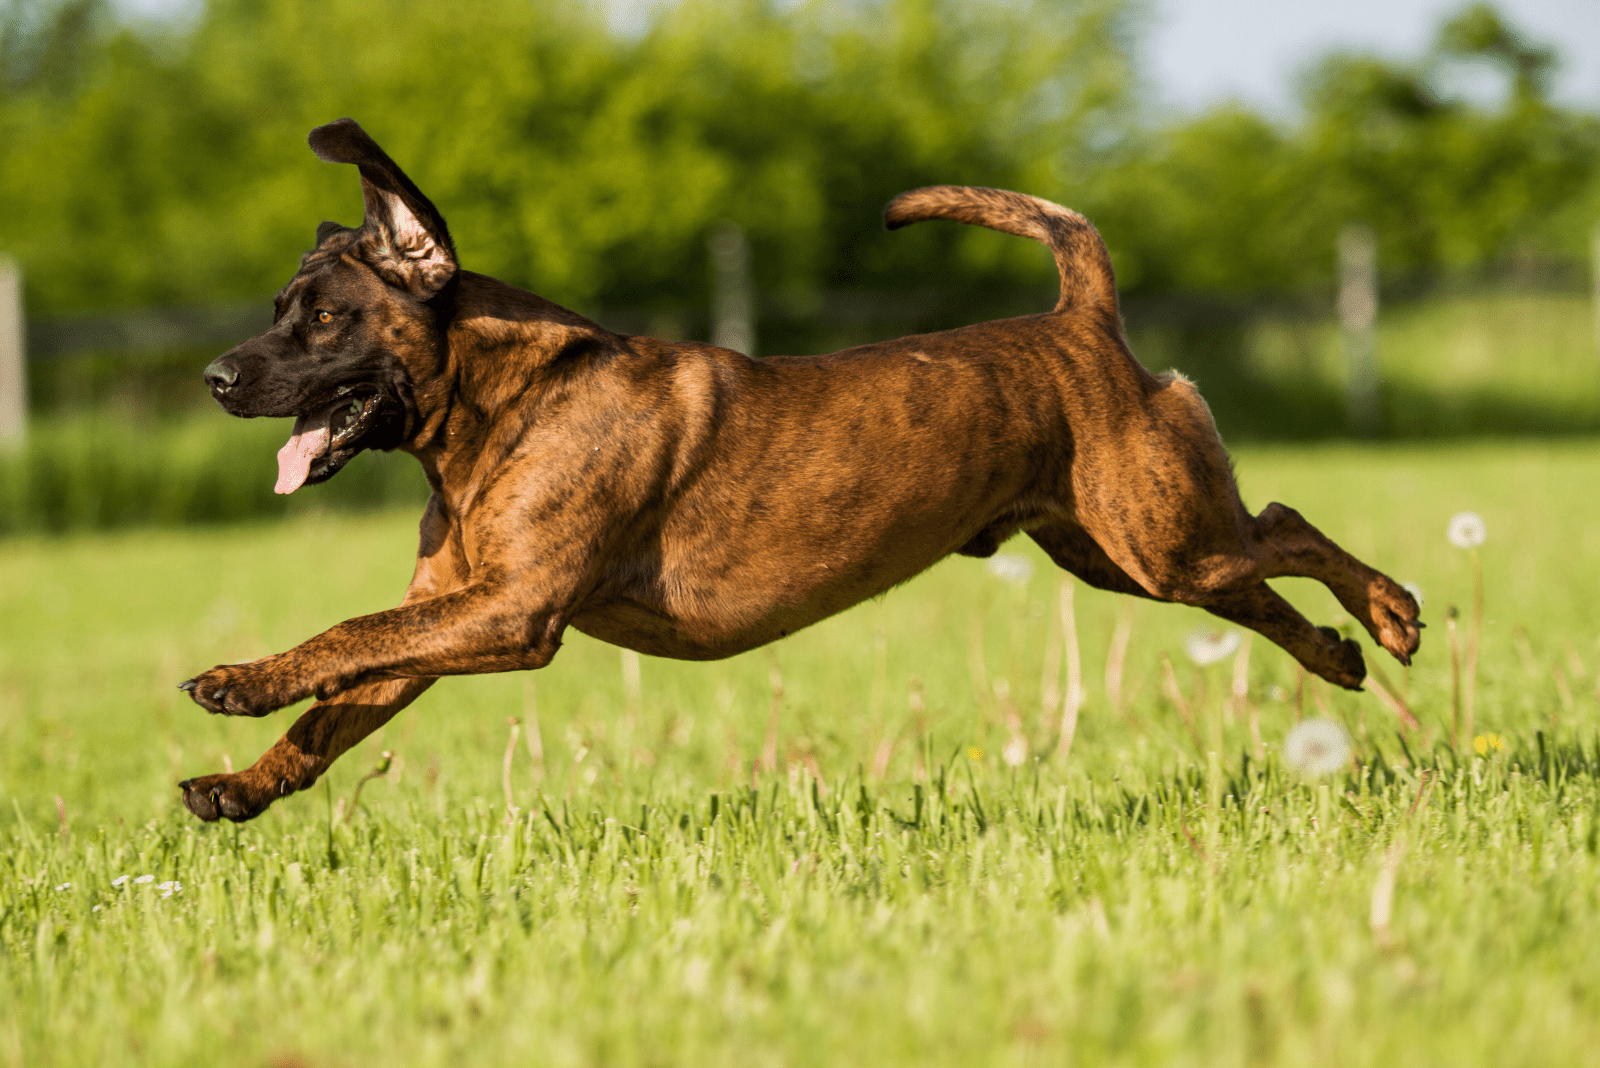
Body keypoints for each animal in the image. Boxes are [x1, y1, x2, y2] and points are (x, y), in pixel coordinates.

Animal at [178, 116, 1427, 824]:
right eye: (279, 309)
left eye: (324, 319)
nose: (215, 377)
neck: (502, 408)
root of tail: (1083, 319)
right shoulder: (451, 612)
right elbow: (337, 707)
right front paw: (240, 785)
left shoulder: (511, 613)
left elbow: (342, 638)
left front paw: (237, 680)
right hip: (1117, 554)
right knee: (1260, 582)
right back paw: (1337, 655)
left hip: (1162, 538)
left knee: (1284, 523)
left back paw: (1392, 611)